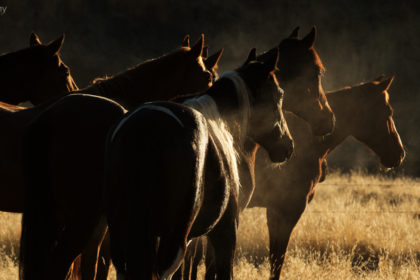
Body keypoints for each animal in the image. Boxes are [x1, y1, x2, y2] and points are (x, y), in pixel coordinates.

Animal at [103, 48, 290, 280]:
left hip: (122, 236)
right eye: (279, 94)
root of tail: (145, 127)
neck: (223, 121)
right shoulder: (226, 230)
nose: (288, 145)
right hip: (173, 238)